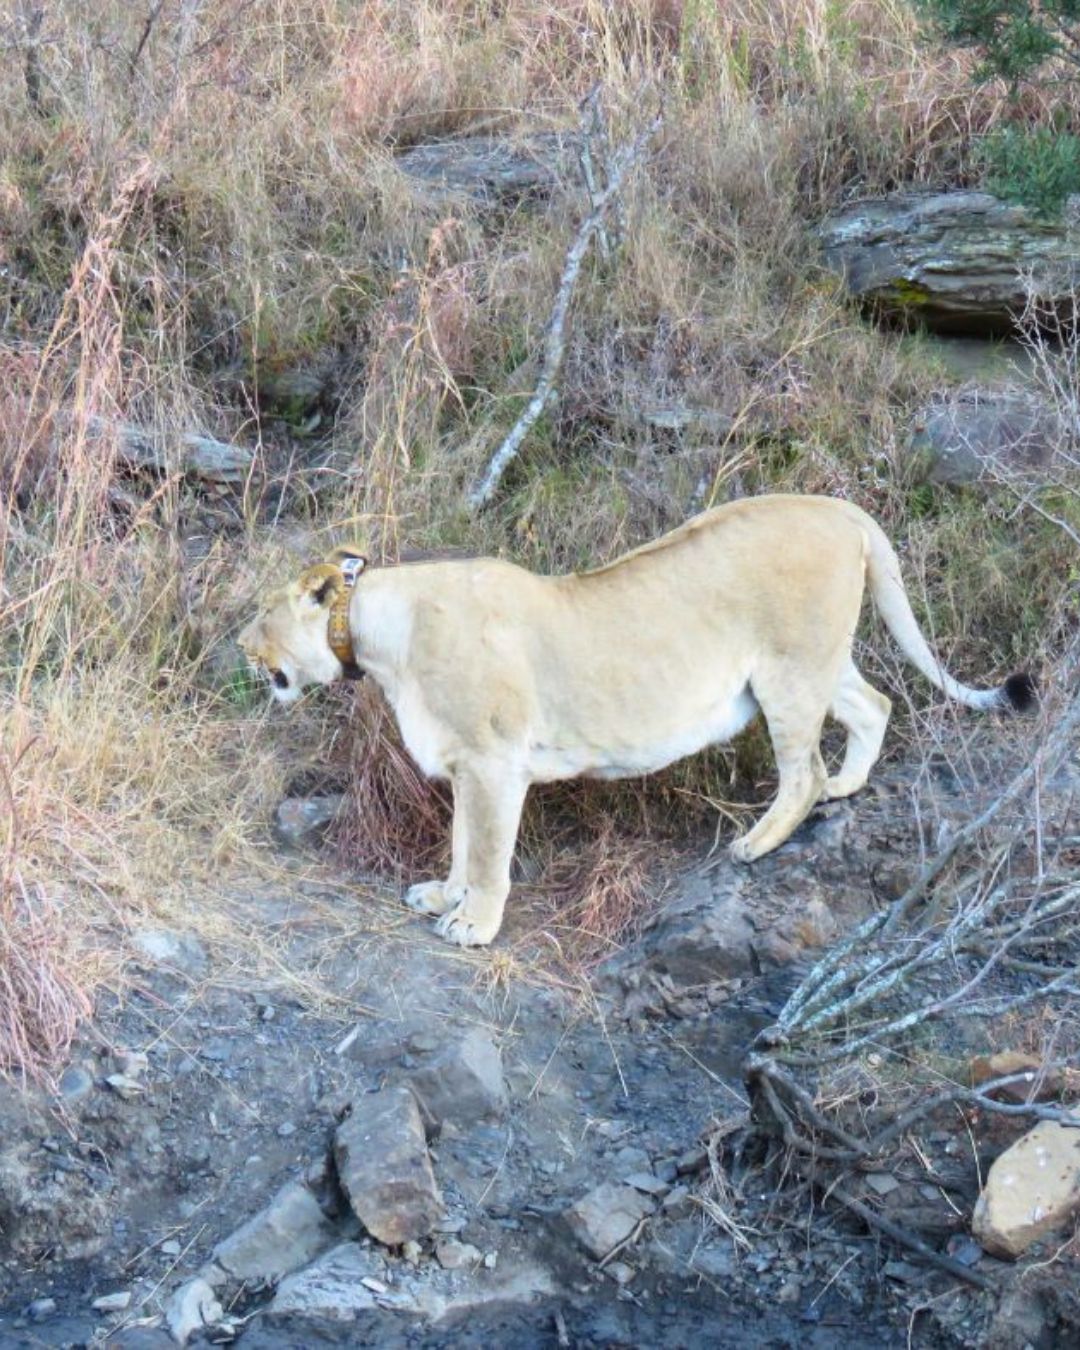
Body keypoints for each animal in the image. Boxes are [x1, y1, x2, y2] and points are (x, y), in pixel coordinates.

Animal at [238, 494, 1034, 947]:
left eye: (262, 612)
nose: (240, 645)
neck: (380, 634)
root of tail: (838, 505)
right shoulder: (468, 765)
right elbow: (463, 844)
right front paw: (444, 894)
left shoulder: (494, 762)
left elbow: (488, 853)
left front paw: (474, 924)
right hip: (817, 661)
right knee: (876, 706)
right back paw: (848, 786)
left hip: (789, 670)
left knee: (802, 769)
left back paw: (758, 843)